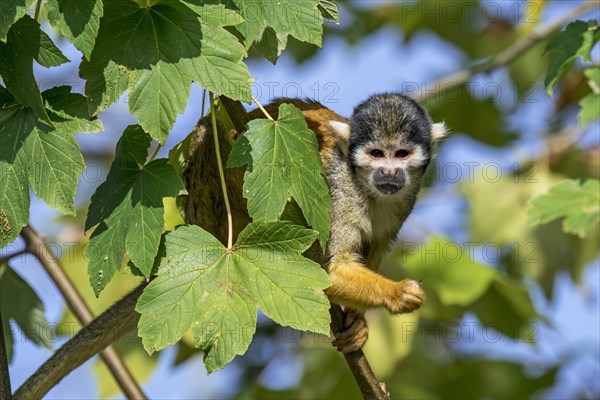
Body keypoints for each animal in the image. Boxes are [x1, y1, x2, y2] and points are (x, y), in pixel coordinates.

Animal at [184, 94, 446, 354]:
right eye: (376, 153)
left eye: (401, 154)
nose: (388, 172)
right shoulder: (339, 191)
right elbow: (325, 269)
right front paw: (397, 293)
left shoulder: (405, 203)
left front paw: (357, 322)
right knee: (210, 129)